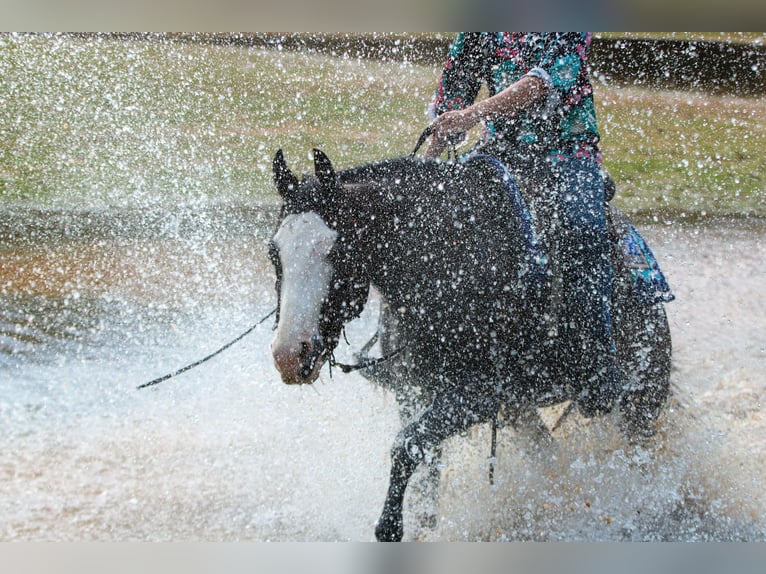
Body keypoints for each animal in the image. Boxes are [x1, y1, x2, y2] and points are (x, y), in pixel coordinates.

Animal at [268, 148, 672, 541]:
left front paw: (390, 525)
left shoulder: (480, 393)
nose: (289, 355)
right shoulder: (414, 390)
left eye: (337, 252)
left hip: (642, 391)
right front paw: (423, 522)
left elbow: (406, 445)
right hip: (522, 411)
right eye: (275, 253)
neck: (449, 261)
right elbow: (426, 461)